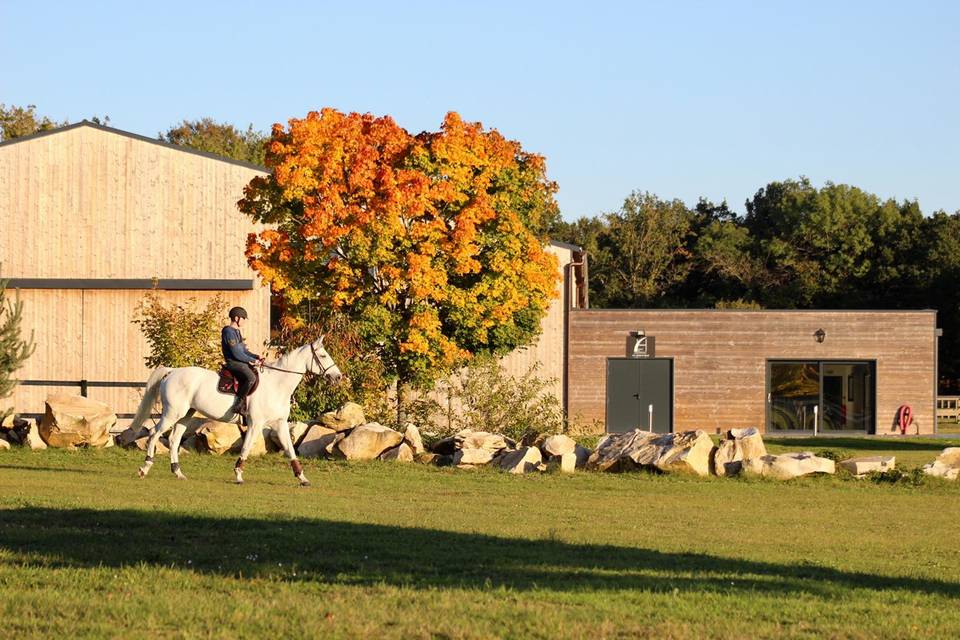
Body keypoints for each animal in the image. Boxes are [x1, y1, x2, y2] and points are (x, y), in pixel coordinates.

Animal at [128, 340, 342, 484]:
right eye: (323, 356)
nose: (338, 377)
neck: (276, 384)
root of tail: (172, 372)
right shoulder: (255, 423)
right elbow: (246, 447)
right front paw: (238, 475)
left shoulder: (280, 424)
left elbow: (290, 450)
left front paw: (302, 477)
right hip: (172, 413)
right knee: (154, 434)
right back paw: (145, 468)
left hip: (185, 415)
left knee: (173, 440)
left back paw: (178, 472)